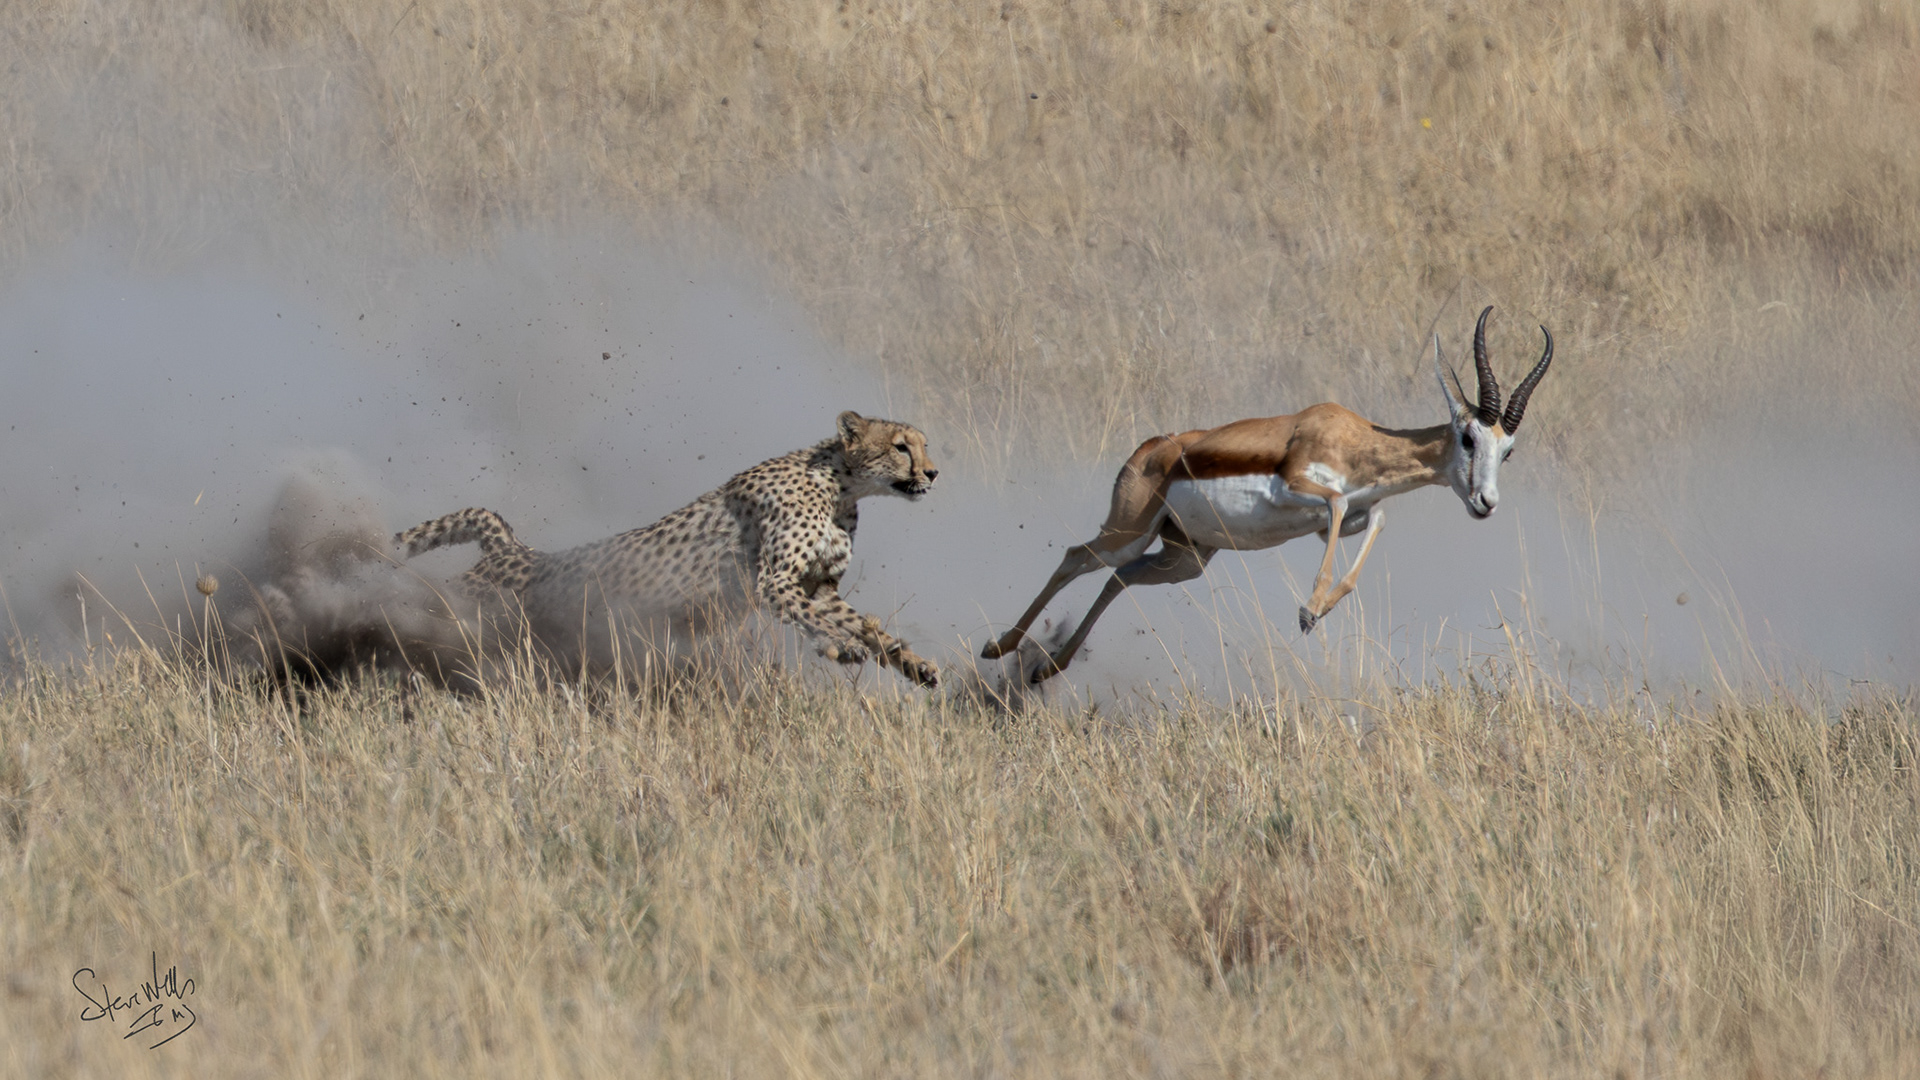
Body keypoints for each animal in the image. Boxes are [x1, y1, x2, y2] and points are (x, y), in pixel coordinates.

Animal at [393, 411, 941, 687]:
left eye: (924, 444)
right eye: (901, 446)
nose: (933, 473)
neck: (841, 486)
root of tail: (512, 548)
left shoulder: (819, 587)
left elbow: (869, 627)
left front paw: (914, 664)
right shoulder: (776, 581)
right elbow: (822, 622)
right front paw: (841, 646)